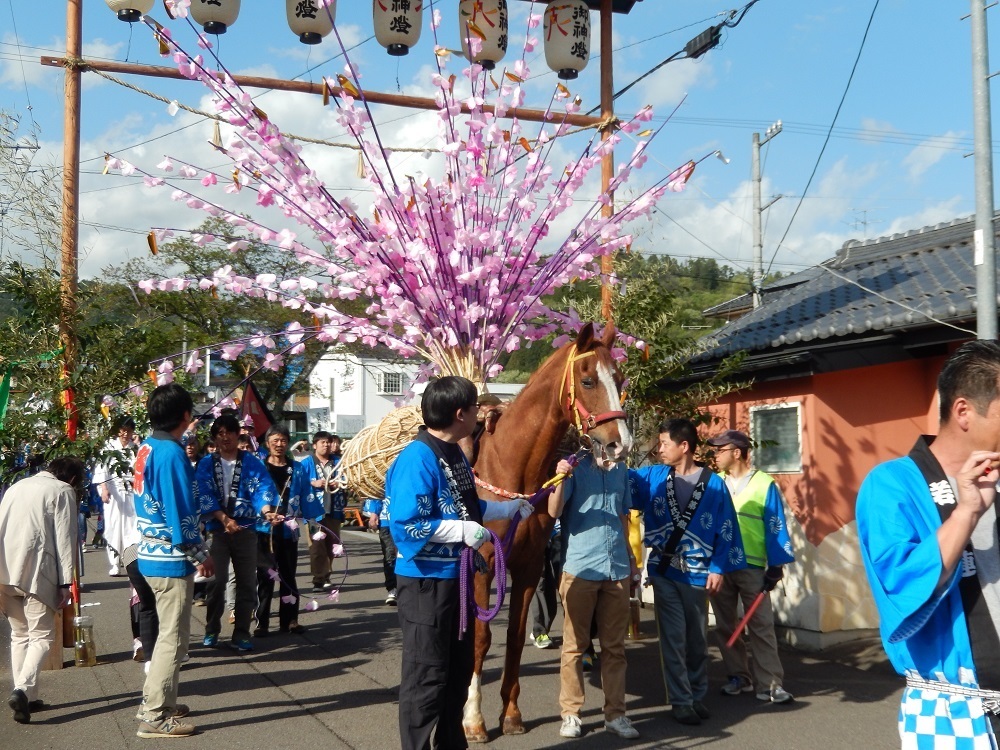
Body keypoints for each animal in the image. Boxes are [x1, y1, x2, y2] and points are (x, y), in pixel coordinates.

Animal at [462, 324, 632, 748]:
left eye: (619, 380)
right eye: (587, 380)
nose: (620, 443)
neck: (511, 469)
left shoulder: (526, 567)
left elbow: (514, 637)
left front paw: (510, 714)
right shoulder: (482, 566)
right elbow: (481, 638)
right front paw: (473, 719)